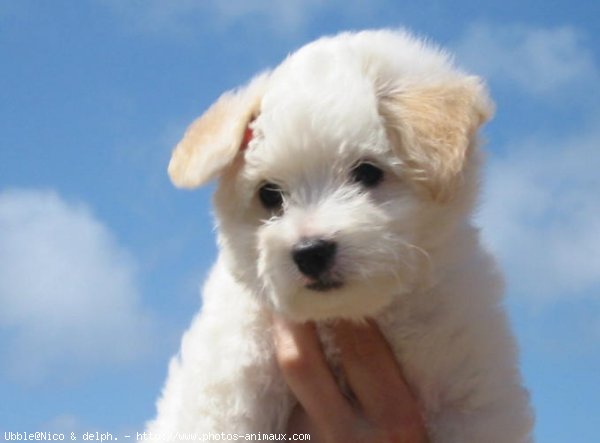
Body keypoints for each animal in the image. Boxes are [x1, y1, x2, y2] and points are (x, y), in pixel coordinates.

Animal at [148, 29, 532, 442]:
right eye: (270, 194)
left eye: (367, 172)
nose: (310, 252)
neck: (342, 318)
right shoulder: (227, 387)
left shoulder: (471, 392)